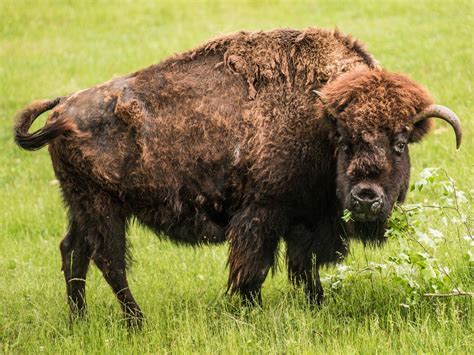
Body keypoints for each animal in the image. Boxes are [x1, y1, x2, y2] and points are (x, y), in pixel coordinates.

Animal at [12, 28, 462, 328]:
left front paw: (315, 305)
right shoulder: (262, 216)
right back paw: (137, 322)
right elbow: (254, 270)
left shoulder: (305, 220)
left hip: (80, 204)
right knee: (109, 259)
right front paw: (252, 311)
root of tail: (61, 113)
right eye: (346, 141)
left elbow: (305, 269)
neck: (317, 121)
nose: (366, 198)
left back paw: (79, 319)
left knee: (74, 250)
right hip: (103, 207)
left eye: (400, 142)